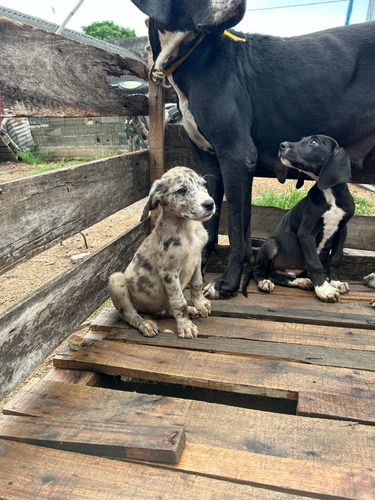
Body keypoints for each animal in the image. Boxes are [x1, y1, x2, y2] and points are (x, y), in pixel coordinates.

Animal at [108, 167, 216, 336]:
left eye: (204, 185)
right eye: (181, 190)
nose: (210, 204)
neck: (187, 228)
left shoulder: (197, 257)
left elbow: (197, 283)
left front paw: (200, 304)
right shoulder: (169, 271)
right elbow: (179, 301)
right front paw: (185, 326)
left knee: (169, 309)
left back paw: (190, 310)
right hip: (116, 280)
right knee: (130, 315)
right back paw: (145, 323)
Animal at [130, 0, 375, 296]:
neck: (194, 55)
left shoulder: (236, 156)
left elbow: (238, 232)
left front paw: (227, 283)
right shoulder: (211, 162)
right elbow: (209, 224)